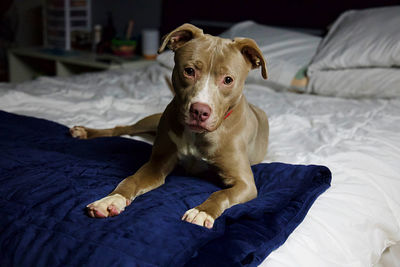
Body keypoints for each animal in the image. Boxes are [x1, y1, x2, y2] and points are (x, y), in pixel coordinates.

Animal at [69, 23, 268, 229]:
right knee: (121, 129)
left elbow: (222, 194)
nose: (200, 111)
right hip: (152, 120)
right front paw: (111, 200)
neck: (197, 135)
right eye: (189, 71)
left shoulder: (245, 183)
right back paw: (84, 132)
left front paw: (202, 212)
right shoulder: (157, 164)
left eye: (228, 80)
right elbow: (131, 180)